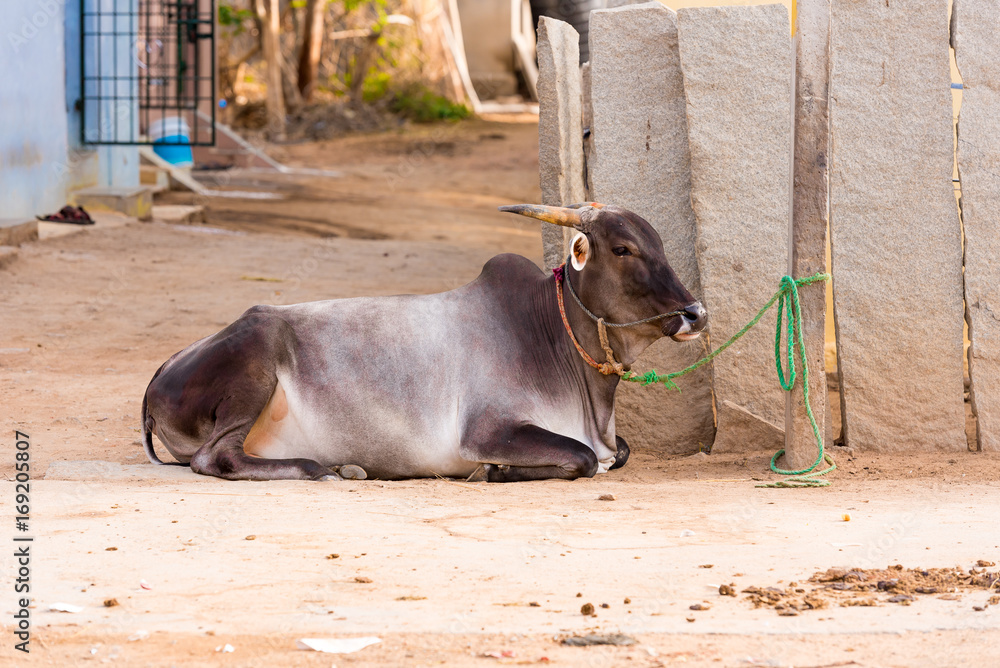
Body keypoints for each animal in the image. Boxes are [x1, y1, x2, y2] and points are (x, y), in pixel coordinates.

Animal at [140, 203, 707, 482]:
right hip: (254, 360)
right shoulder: (488, 429)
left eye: (658, 243)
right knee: (215, 459)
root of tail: (160, 374)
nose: (695, 313)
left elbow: (619, 452)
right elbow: (586, 459)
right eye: (623, 249)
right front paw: (495, 472)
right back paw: (317, 468)